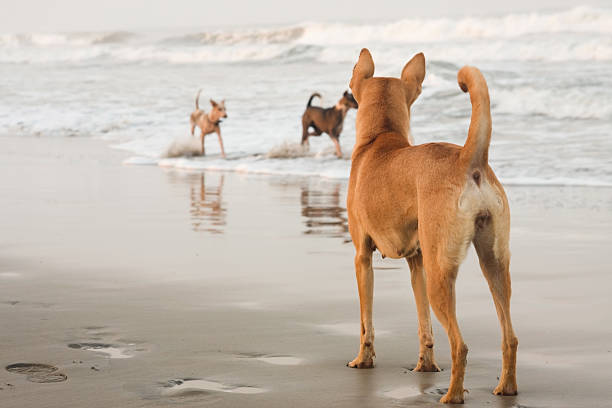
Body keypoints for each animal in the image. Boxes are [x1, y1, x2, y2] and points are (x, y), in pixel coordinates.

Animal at [346, 49, 520, 404]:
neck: (380, 138)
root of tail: (468, 160)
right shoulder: (417, 262)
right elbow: (423, 324)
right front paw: (425, 366)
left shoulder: (362, 258)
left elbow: (365, 323)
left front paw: (363, 359)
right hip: (493, 266)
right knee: (509, 337)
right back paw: (505, 387)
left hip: (441, 274)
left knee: (461, 345)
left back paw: (453, 395)